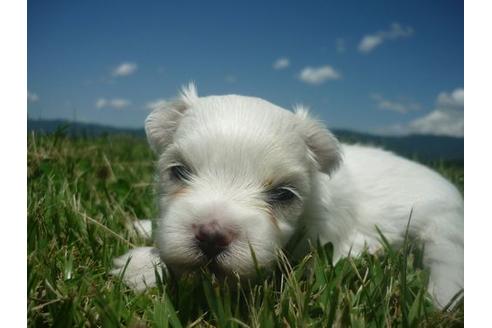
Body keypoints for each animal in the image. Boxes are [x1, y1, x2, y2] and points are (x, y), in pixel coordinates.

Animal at [111, 84, 462, 308]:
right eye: (179, 172)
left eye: (283, 194)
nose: (212, 235)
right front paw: (143, 234)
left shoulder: (305, 252)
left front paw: (140, 266)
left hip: (440, 225)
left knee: (447, 259)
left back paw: (439, 299)